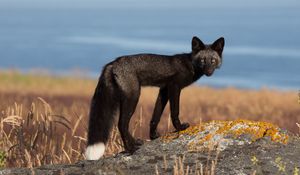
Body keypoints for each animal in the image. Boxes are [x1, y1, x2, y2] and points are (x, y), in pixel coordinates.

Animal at [85, 36, 224, 159]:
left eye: (213, 61)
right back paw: (131, 149)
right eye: (202, 60)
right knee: (121, 124)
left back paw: (135, 143)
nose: (209, 72)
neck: (189, 64)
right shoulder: (174, 86)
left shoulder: (164, 90)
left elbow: (155, 116)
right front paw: (179, 128)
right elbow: (175, 112)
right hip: (133, 97)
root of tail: (113, 63)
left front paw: (153, 136)